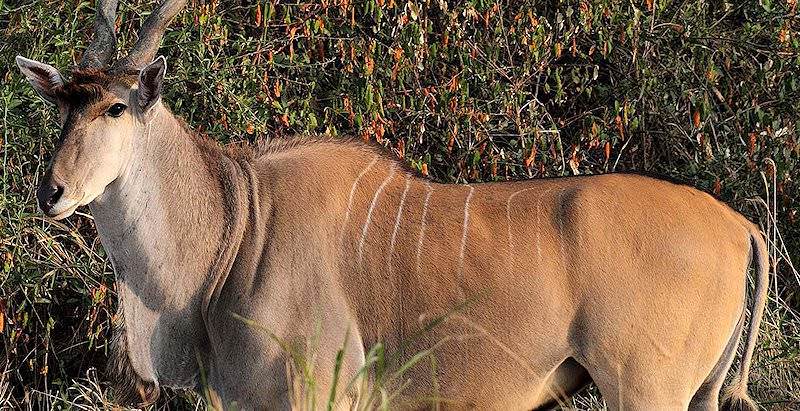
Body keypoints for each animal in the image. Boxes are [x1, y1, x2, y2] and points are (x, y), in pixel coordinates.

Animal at [17, 0, 768, 411]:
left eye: (115, 107)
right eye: (63, 105)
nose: (50, 191)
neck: (239, 221)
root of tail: (740, 225)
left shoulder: (314, 390)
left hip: (647, 388)